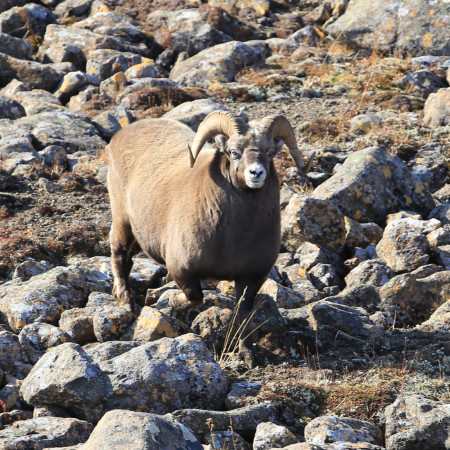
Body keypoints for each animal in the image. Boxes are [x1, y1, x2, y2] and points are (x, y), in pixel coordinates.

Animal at [108, 110, 312, 360]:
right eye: (234, 152)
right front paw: (171, 301)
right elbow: (195, 297)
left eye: (270, 153)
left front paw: (246, 353)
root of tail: (119, 137)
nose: (256, 173)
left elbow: (242, 315)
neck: (235, 237)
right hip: (123, 222)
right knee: (119, 256)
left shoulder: (251, 279)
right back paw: (126, 302)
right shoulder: (182, 270)